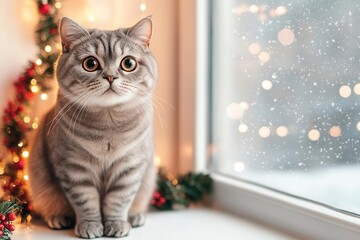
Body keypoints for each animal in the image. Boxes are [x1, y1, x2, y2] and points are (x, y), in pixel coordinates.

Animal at [27, 16, 157, 238]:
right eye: (90, 63)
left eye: (128, 63)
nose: (111, 76)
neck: (108, 125)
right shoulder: (74, 167)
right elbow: (86, 201)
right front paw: (90, 225)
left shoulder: (130, 167)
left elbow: (118, 199)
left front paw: (116, 223)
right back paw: (58, 218)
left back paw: (134, 217)